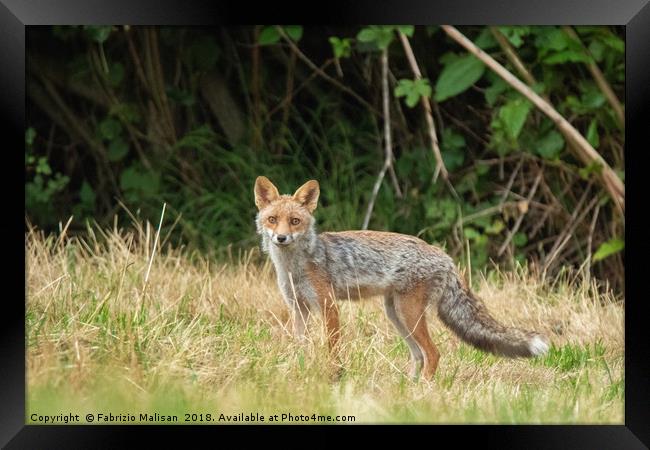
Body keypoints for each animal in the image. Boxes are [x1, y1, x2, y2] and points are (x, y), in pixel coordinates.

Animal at [253, 176, 548, 380]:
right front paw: (298, 371)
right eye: (272, 219)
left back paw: (424, 391)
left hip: (409, 314)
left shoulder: (329, 307)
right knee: (418, 355)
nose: (281, 238)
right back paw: (406, 389)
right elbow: (299, 347)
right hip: (396, 314)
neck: (294, 267)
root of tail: (445, 257)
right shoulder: (298, 308)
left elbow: (332, 348)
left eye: (294, 221)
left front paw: (334, 376)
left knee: (433, 353)